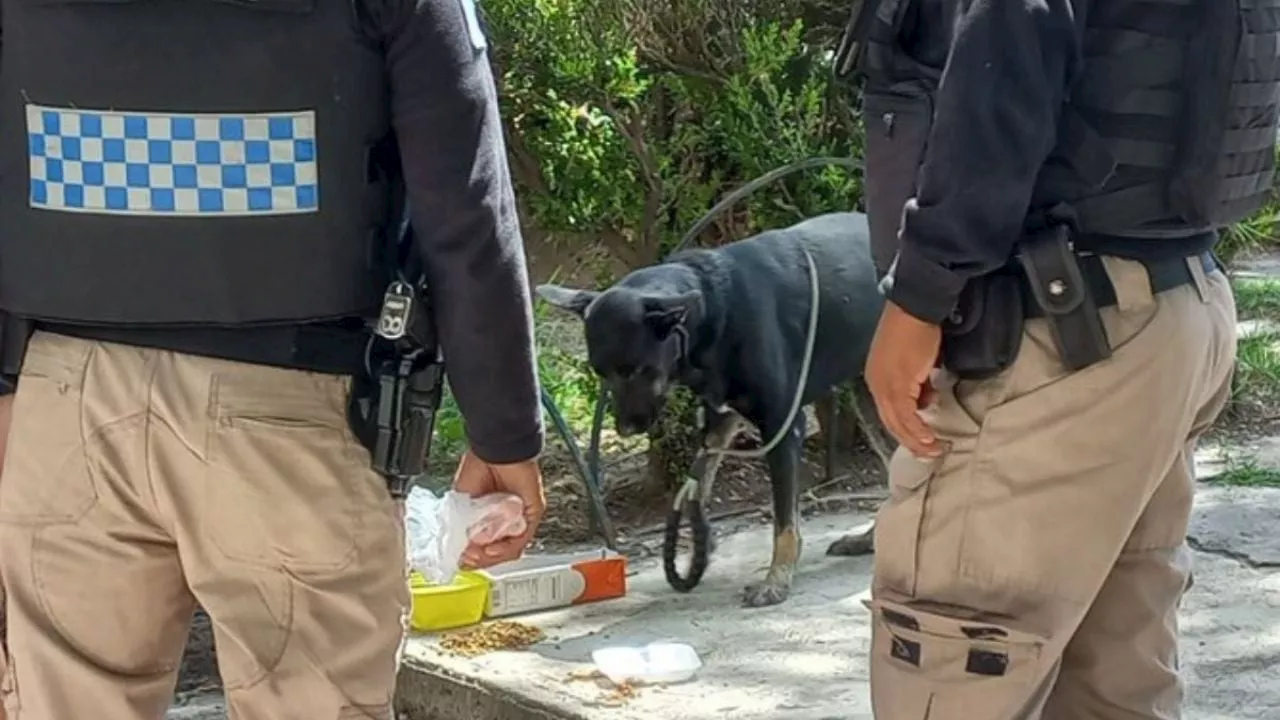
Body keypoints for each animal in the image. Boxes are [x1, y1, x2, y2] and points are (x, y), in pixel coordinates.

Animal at [540, 208, 890, 604]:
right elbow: (698, 482)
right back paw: (871, 539)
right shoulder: (720, 421)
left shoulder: (782, 429)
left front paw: (776, 580)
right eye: (601, 374)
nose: (626, 429)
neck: (713, 308)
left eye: (638, 370)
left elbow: (784, 522)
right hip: (873, 401)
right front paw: (700, 542)